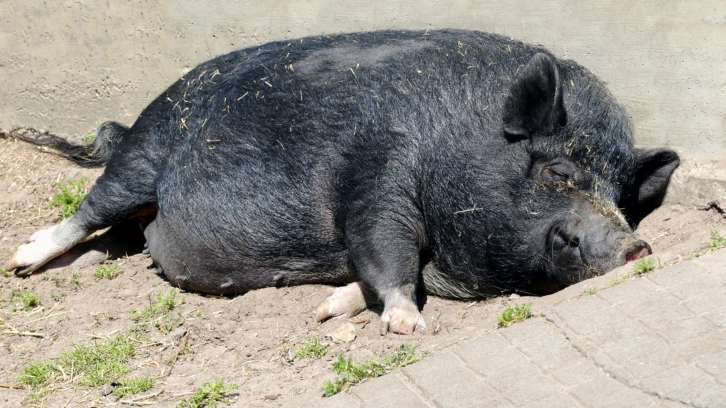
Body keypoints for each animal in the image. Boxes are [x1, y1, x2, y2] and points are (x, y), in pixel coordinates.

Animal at [5, 29, 680, 334]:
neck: (455, 140)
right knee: (92, 208)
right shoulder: (377, 174)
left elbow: (385, 267)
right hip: (147, 150)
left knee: (116, 240)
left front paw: (327, 310)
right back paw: (21, 261)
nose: (635, 244)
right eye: (557, 171)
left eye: (621, 199)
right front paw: (407, 326)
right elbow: (386, 250)